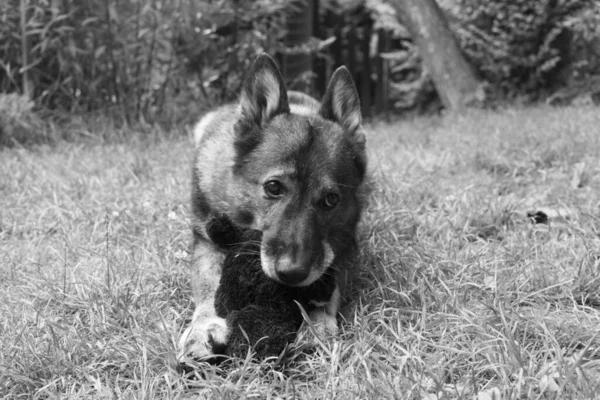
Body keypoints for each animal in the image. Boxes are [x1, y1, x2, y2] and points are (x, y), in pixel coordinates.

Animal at [176, 53, 368, 362]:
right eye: (273, 187)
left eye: (331, 199)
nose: (292, 274)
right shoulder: (206, 240)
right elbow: (208, 287)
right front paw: (203, 326)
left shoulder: (344, 248)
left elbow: (331, 288)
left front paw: (318, 323)